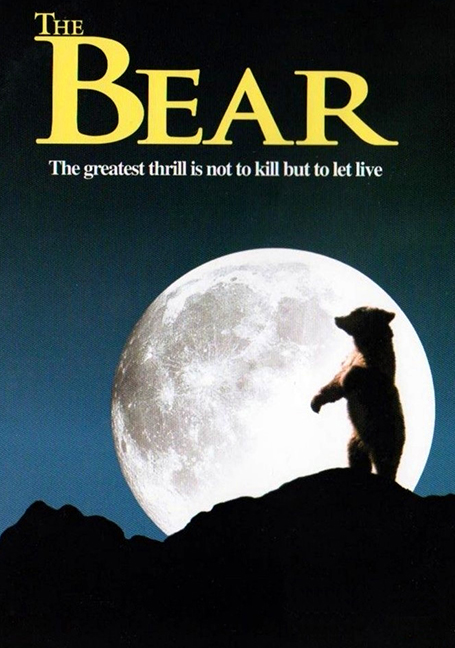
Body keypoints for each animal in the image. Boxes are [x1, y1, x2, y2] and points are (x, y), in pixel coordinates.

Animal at [310, 306, 405, 480]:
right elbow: (334, 385)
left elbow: (355, 375)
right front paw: (315, 402)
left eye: (356, 312)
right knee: (357, 456)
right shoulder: (349, 358)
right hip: (357, 438)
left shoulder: (377, 370)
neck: (365, 345)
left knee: (386, 461)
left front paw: (346, 380)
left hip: (385, 432)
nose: (337, 318)